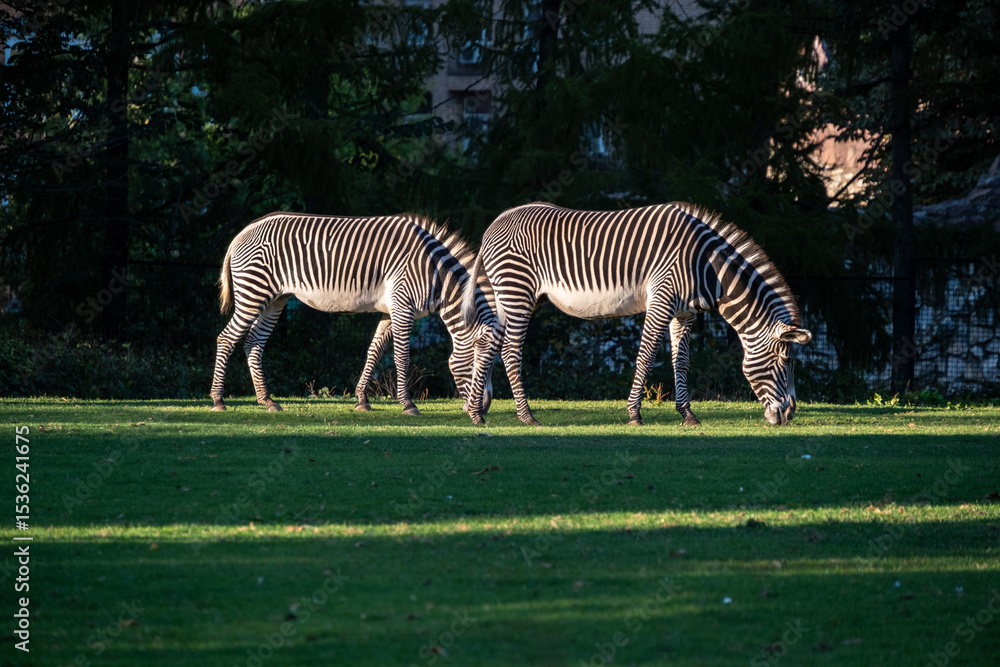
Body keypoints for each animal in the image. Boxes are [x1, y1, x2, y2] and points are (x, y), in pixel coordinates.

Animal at [211, 212, 499, 423]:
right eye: (482, 363)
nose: (484, 409)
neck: (435, 273)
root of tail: (242, 233)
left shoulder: (390, 309)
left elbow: (374, 352)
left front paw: (362, 400)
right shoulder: (402, 306)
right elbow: (401, 357)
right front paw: (408, 404)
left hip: (275, 299)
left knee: (253, 343)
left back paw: (267, 400)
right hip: (254, 292)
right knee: (226, 339)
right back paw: (218, 400)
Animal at [462, 201, 812, 426]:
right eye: (786, 361)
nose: (789, 415)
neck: (707, 267)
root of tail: (493, 225)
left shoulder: (684, 312)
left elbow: (681, 361)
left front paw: (687, 414)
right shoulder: (662, 299)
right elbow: (646, 356)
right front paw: (634, 414)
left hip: (509, 296)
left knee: (487, 342)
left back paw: (476, 413)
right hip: (517, 292)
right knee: (510, 350)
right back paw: (526, 416)